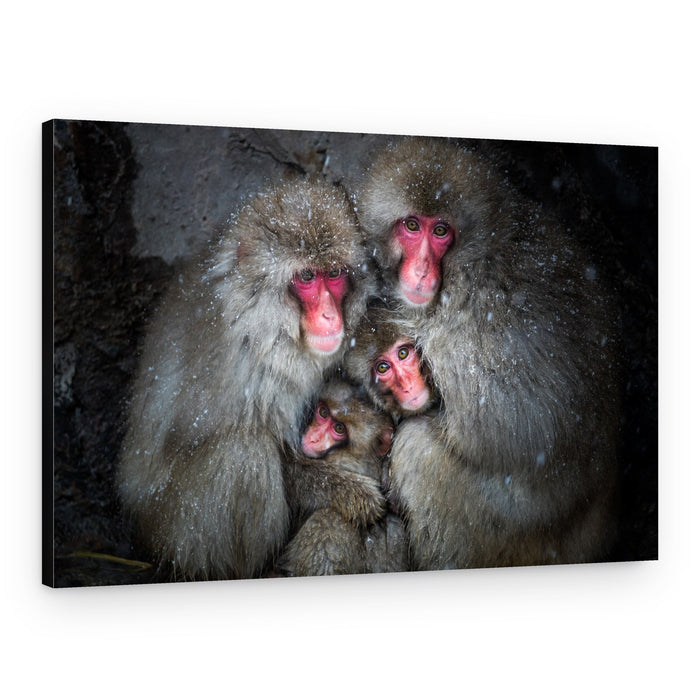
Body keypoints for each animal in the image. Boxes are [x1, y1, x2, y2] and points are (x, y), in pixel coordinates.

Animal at [117, 176, 377, 580]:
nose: (330, 316)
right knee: (244, 452)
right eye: (306, 276)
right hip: (178, 534)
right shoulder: (257, 363)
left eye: (334, 274)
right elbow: (281, 454)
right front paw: (347, 492)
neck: (263, 318)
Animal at [356, 137, 621, 570]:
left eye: (441, 231)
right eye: (412, 226)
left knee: (417, 450)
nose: (422, 272)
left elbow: (490, 432)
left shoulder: (459, 326)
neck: (473, 257)